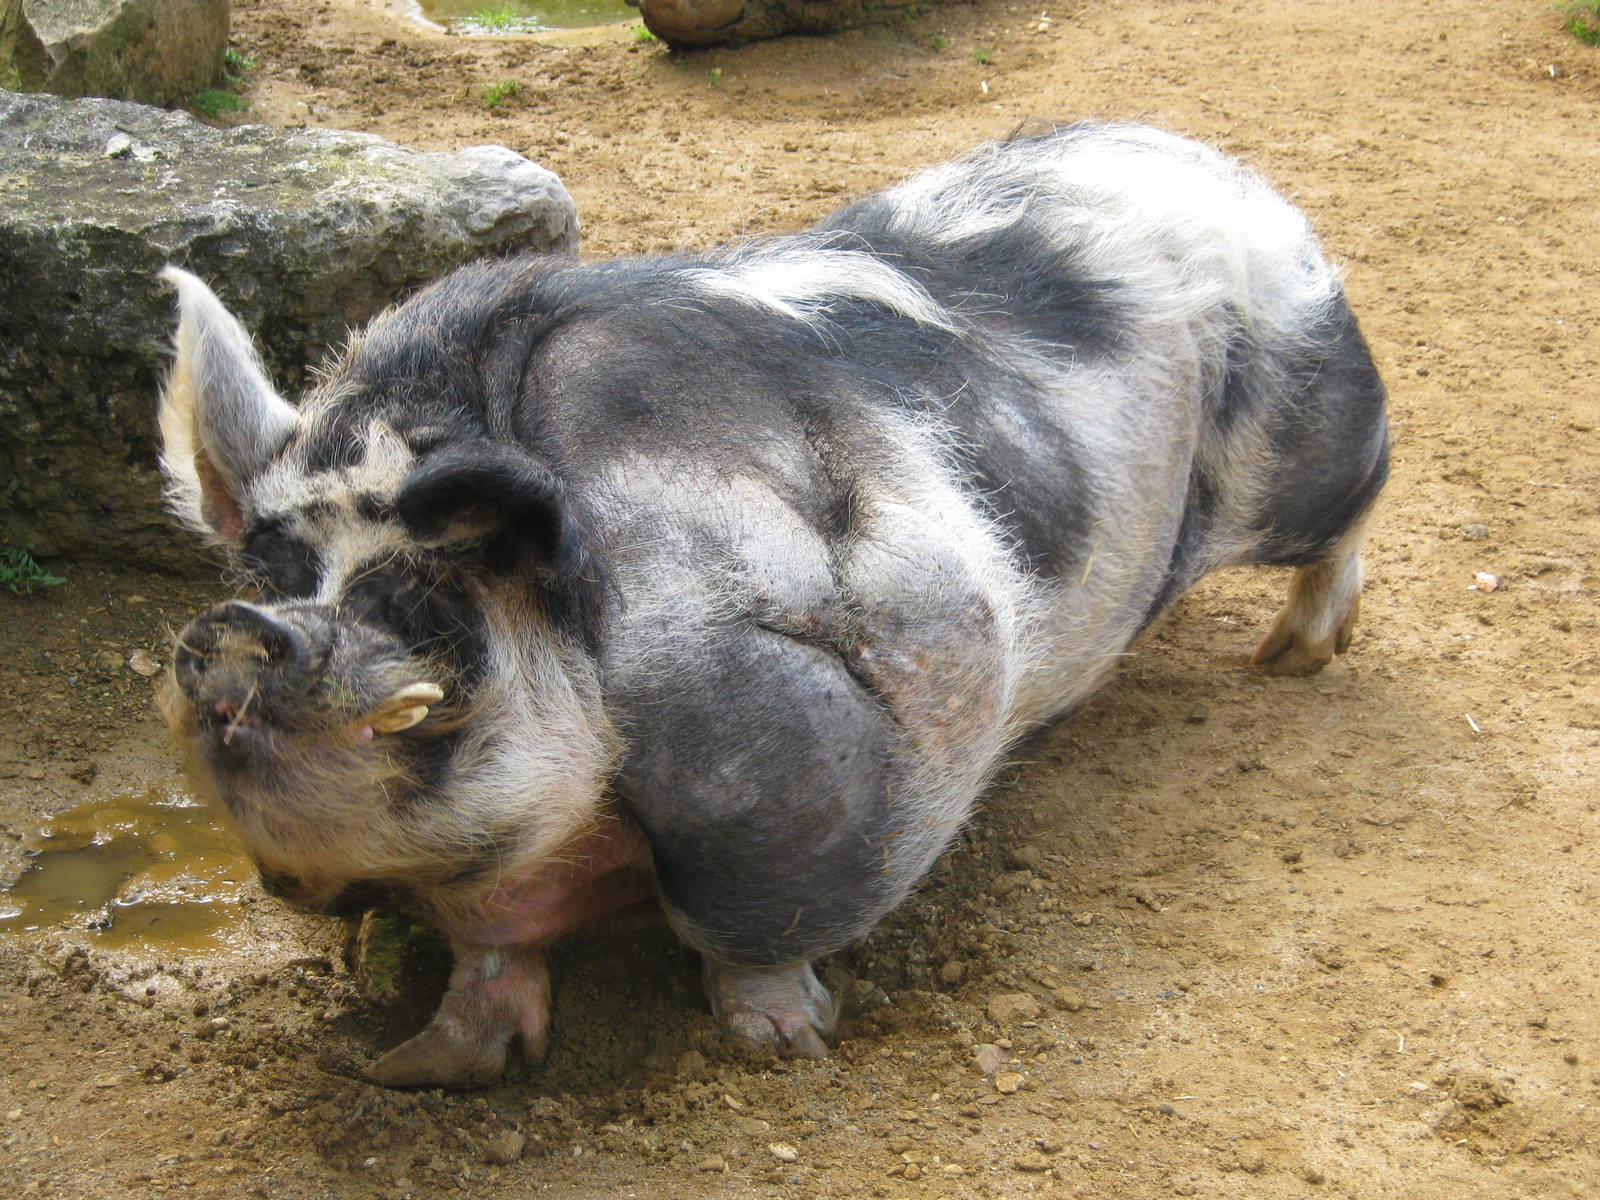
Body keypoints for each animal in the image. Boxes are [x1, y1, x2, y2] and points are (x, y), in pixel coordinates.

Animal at [156, 122, 1388, 1087]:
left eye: (423, 593)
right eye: (264, 577)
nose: (234, 634)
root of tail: (1218, 164)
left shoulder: (903, 660)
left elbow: (749, 928)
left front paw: (784, 1044)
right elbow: (487, 958)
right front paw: (417, 1068)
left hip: (1318, 427)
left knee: (1348, 518)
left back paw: (1295, 657)